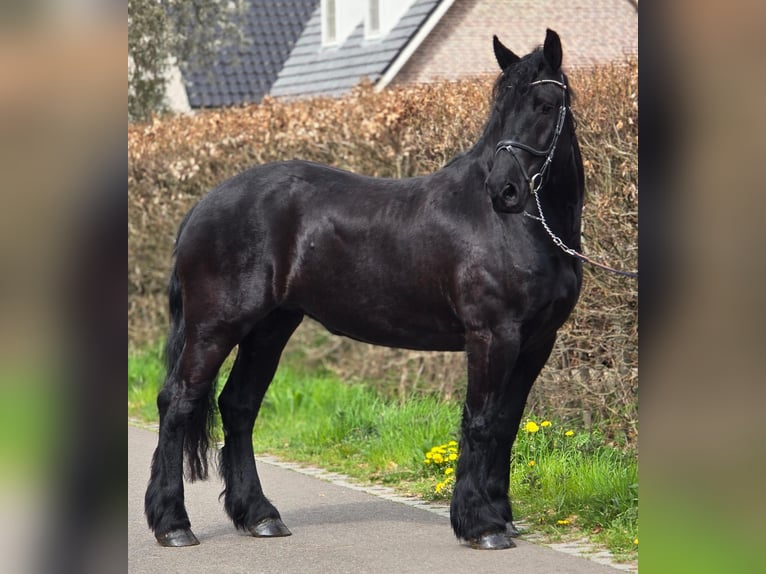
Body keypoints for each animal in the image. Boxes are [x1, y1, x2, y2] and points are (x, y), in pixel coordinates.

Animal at [145, 29, 584, 550]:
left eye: (543, 104)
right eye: (500, 105)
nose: (504, 191)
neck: (521, 228)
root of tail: (202, 206)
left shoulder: (537, 341)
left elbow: (507, 424)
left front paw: (501, 515)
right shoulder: (493, 335)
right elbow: (480, 421)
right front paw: (481, 524)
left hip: (270, 328)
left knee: (238, 406)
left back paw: (260, 515)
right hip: (216, 326)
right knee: (179, 402)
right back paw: (173, 524)